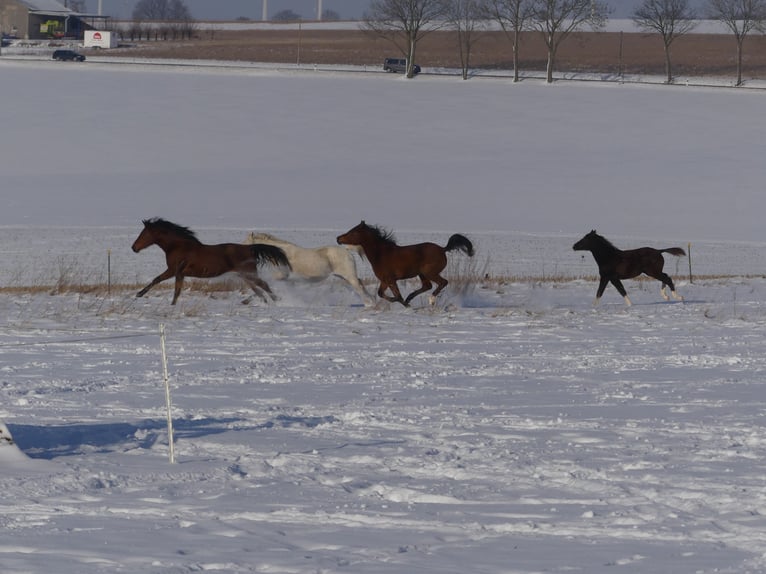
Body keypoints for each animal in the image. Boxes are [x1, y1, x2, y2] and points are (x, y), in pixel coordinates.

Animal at [132, 218, 292, 306]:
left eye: (144, 234)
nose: (134, 247)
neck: (178, 246)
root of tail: (249, 248)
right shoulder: (180, 273)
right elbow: (177, 290)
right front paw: (172, 305)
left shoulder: (174, 270)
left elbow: (158, 280)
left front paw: (139, 294)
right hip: (246, 276)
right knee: (258, 290)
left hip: (248, 274)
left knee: (263, 285)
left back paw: (277, 301)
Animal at [246, 233, 376, 308]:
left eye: (246, 245)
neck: (279, 254)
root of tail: (347, 251)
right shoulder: (288, 281)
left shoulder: (280, 276)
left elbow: (263, 285)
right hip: (345, 278)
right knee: (361, 286)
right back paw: (372, 301)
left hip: (349, 277)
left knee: (360, 288)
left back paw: (369, 304)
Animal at [338, 223, 474, 308]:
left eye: (353, 232)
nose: (338, 238)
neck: (380, 254)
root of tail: (443, 249)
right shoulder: (385, 280)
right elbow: (381, 293)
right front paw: (406, 303)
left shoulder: (390, 279)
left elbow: (396, 295)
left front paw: (405, 304)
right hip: (422, 274)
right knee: (427, 286)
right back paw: (410, 297)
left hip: (429, 272)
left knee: (443, 282)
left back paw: (431, 300)